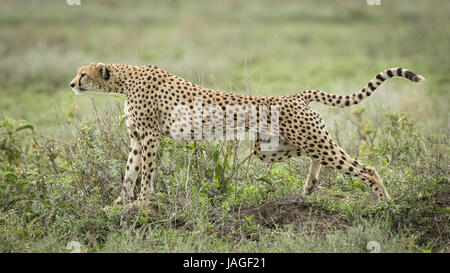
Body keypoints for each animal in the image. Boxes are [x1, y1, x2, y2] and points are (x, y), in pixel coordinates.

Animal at [70, 63, 426, 203]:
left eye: (83, 74)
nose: (72, 83)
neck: (124, 79)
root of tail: (294, 95)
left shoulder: (149, 136)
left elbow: (145, 172)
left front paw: (142, 202)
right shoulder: (137, 137)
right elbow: (129, 172)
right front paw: (119, 203)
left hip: (304, 140)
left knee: (364, 168)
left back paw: (385, 203)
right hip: (270, 147)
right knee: (314, 154)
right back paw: (310, 183)